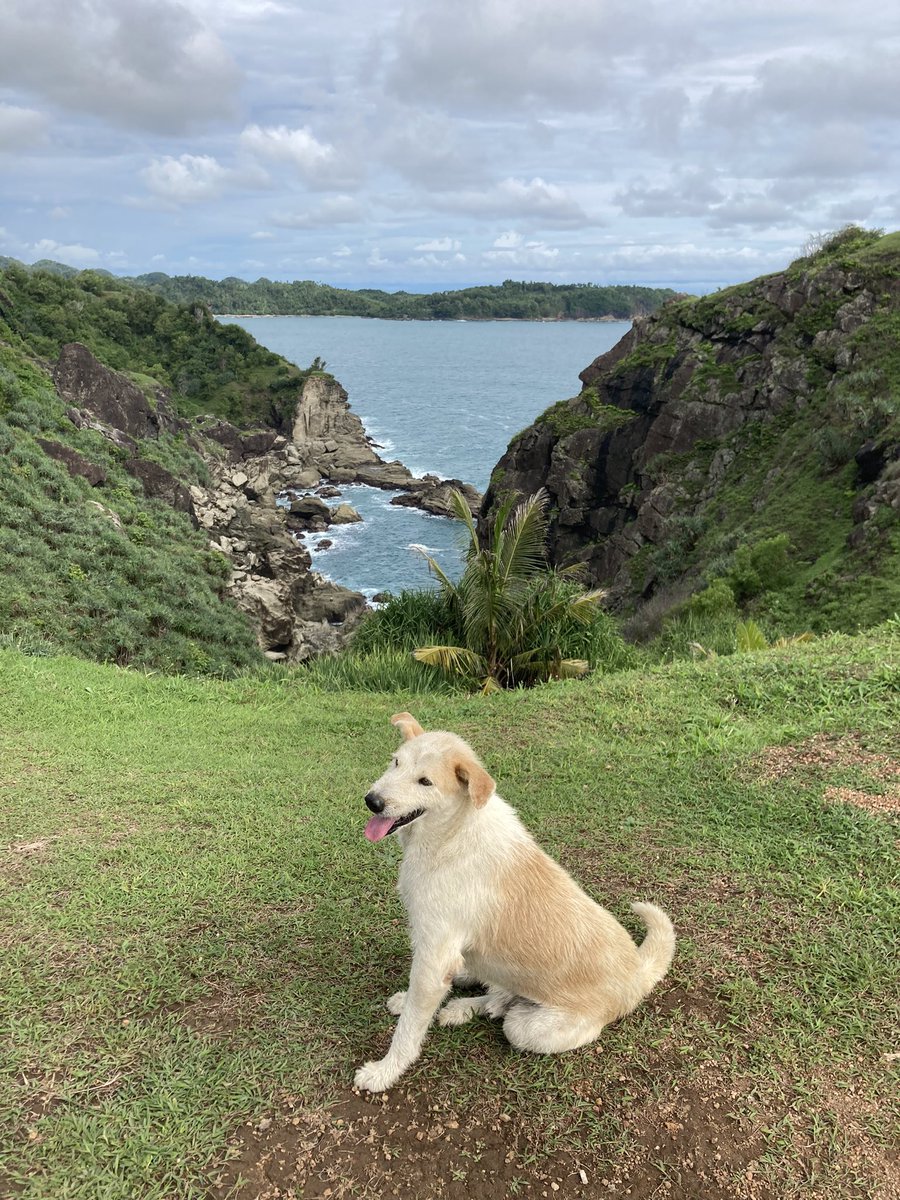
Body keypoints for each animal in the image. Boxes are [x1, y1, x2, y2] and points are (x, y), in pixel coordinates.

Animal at [355, 710, 676, 1099]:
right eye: (396, 762)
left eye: (425, 782)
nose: (373, 801)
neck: (452, 834)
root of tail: (636, 975)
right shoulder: (430, 951)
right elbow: (416, 1002)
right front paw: (409, 1003)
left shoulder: (435, 957)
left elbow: (410, 1028)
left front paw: (384, 1071)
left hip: (527, 1027)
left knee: (505, 1011)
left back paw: (463, 1007)